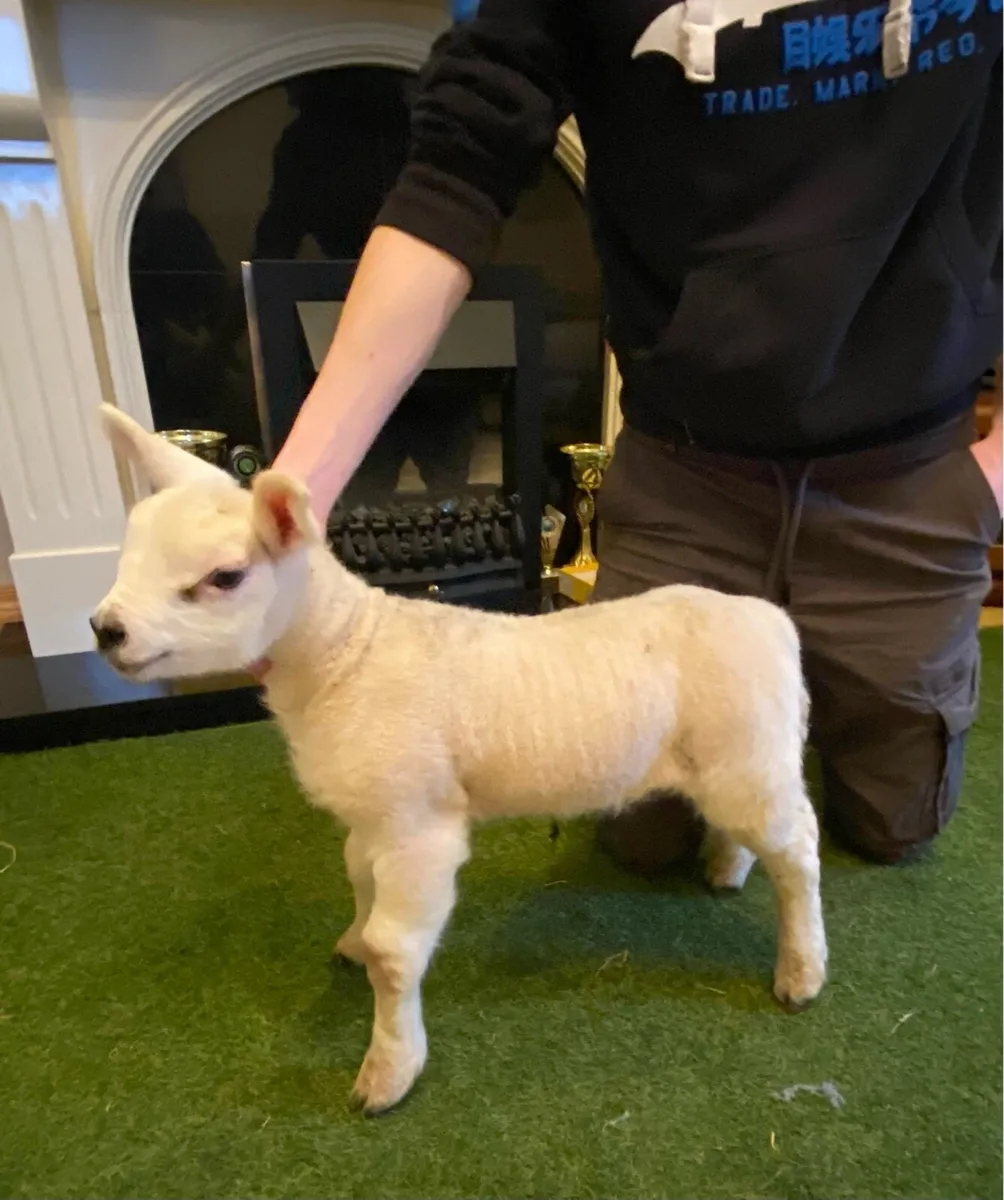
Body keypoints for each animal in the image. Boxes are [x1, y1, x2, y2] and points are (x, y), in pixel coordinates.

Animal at [92, 404, 827, 1115]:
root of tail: (772, 620)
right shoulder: (375, 815)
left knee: (800, 848)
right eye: (128, 556)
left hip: (749, 754)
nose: (104, 630)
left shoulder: (419, 829)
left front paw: (389, 1069)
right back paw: (727, 869)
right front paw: (352, 943)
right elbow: (358, 880)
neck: (342, 653)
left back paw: (802, 970)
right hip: (736, 761)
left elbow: (393, 954)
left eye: (224, 577)